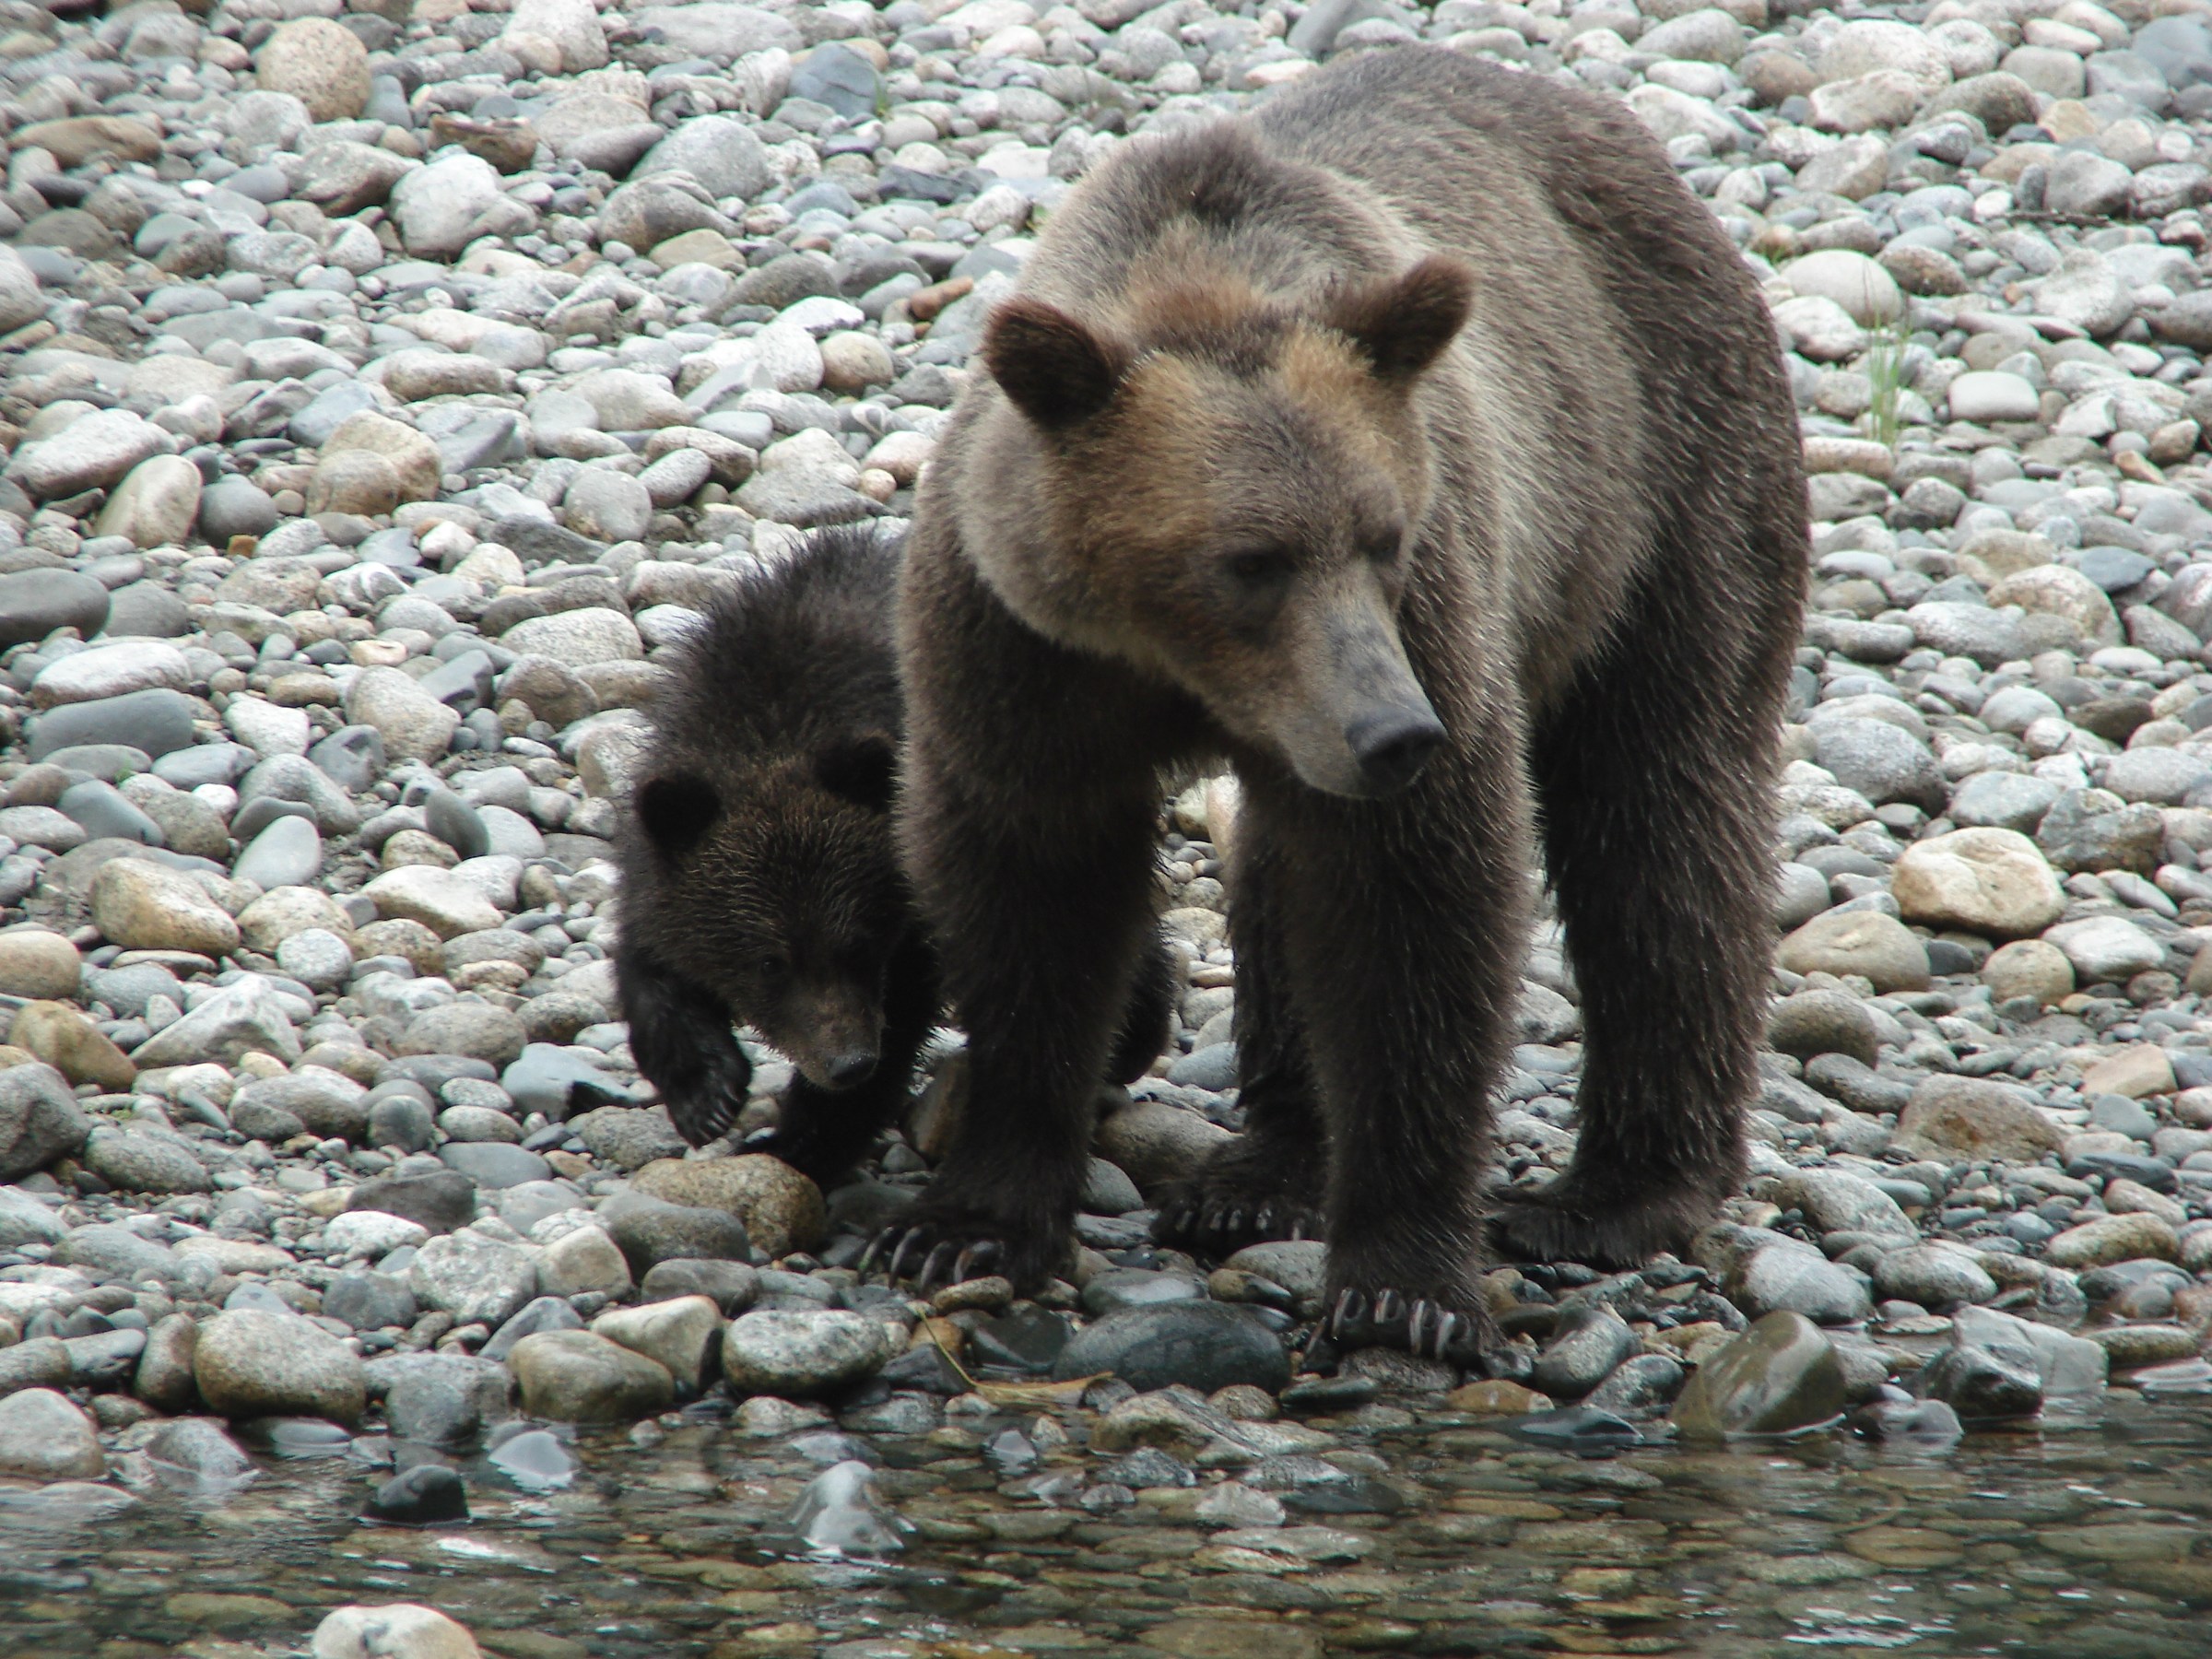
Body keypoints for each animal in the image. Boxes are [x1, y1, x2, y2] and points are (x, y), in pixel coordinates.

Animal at [614, 524, 1177, 1191]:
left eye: (857, 943)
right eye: (770, 962)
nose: (848, 1062)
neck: (769, 731)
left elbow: (905, 1012)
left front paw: (802, 1140)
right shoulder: (663, 837)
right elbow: (649, 961)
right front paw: (707, 1092)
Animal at [876, 47, 1808, 1365]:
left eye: (1382, 535)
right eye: (1249, 560)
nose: (1394, 734)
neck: (1175, 668)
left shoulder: (1437, 611)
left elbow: (1412, 908)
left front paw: (1401, 1285)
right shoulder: (1017, 653)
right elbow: (1031, 892)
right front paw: (968, 1222)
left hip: (1663, 479)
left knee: (1664, 821)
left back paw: (1617, 1193)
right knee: (1281, 863)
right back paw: (1263, 1171)